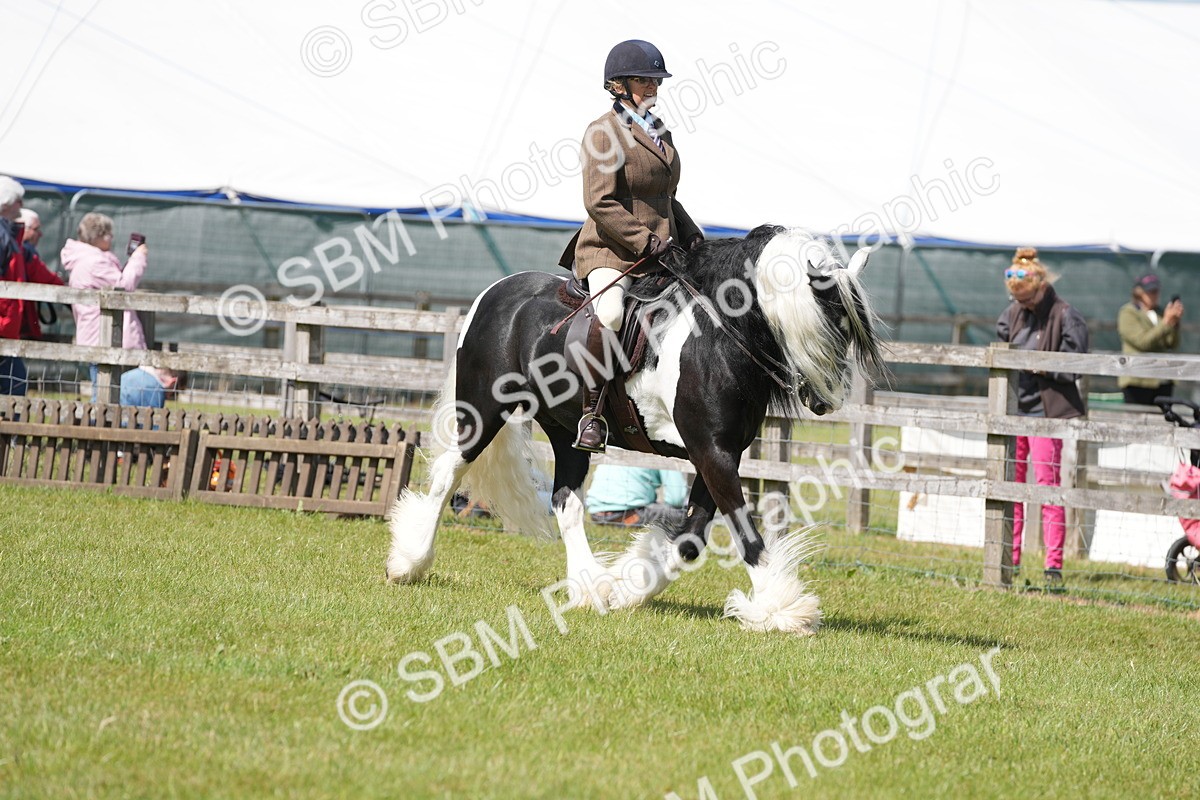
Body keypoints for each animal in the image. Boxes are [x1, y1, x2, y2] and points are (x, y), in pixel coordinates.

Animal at [385, 224, 884, 635]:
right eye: (827, 321)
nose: (826, 401)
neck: (716, 336)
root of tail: (494, 292)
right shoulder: (712, 452)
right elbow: (744, 531)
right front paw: (782, 610)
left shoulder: (717, 454)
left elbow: (689, 540)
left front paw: (631, 587)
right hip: (483, 411)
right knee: (449, 475)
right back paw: (409, 563)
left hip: (567, 431)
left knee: (565, 501)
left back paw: (591, 588)